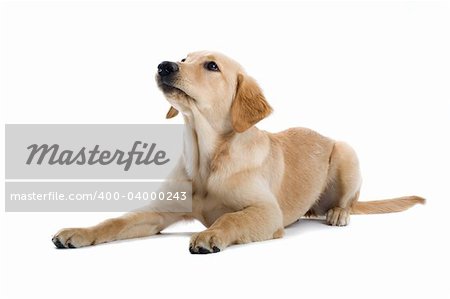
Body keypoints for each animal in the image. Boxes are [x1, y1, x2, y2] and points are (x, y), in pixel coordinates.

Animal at [51, 51, 424, 253]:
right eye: (184, 58)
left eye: (211, 66)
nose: (164, 65)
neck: (206, 157)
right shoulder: (158, 211)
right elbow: (116, 220)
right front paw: (79, 232)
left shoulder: (267, 212)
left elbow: (231, 217)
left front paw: (211, 233)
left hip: (346, 152)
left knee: (348, 201)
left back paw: (338, 213)